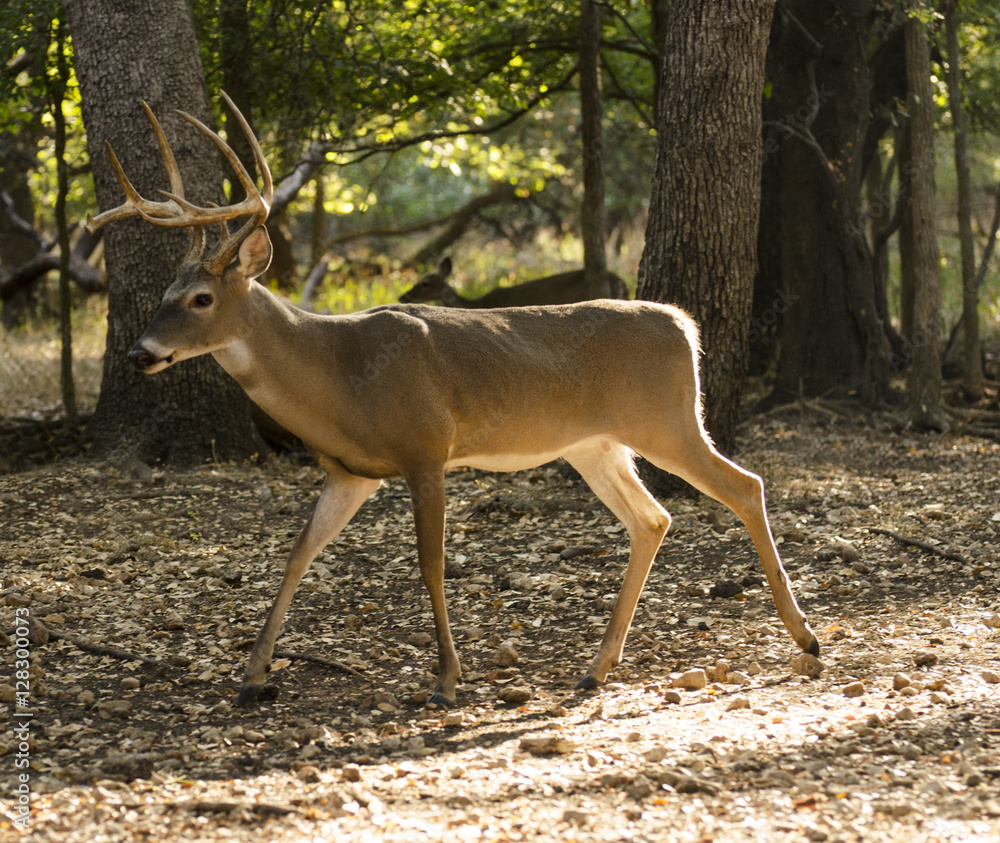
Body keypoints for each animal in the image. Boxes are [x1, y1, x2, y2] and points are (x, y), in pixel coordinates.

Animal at [88, 95, 820, 708]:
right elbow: (298, 553)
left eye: (200, 298)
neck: (340, 376)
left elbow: (431, 563)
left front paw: (445, 680)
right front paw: (252, 674)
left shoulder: (426, 449)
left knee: (745, 484)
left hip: (666, 419)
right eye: (163, 292)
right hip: (594, 444)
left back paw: (806, 640)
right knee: (652, 517)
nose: (141, 353)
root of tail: (684, 324)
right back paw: (595, 667)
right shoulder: (350, 472)